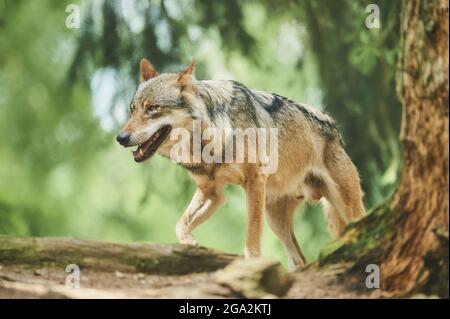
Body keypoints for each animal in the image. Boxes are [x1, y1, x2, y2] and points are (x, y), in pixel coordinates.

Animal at [116, 58, 366, 270]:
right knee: (299, 260)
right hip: (276, 220)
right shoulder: (212, 192)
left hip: (345, 207)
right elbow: (180, 224)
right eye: (132, 110)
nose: (121, 138)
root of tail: (332, 125)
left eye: (152, 108)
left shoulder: (254, 182)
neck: (211, 136)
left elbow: (251, 239)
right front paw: (191, 244)